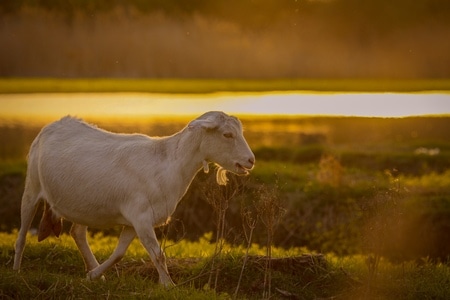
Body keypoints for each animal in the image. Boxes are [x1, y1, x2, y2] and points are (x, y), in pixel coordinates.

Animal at [14, 111, 255, 284]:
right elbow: (158, 254)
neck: (170, 162)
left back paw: (95, 271)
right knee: (22, 234)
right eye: (227, 134)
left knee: (78, 233)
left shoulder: (133, 221)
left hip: (81, 205)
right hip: (32, 187)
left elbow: (120, 253)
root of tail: (55, 123)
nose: (251, 160)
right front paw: (168, 286)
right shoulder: (141, 217)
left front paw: (93, 275)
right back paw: (16, 270)